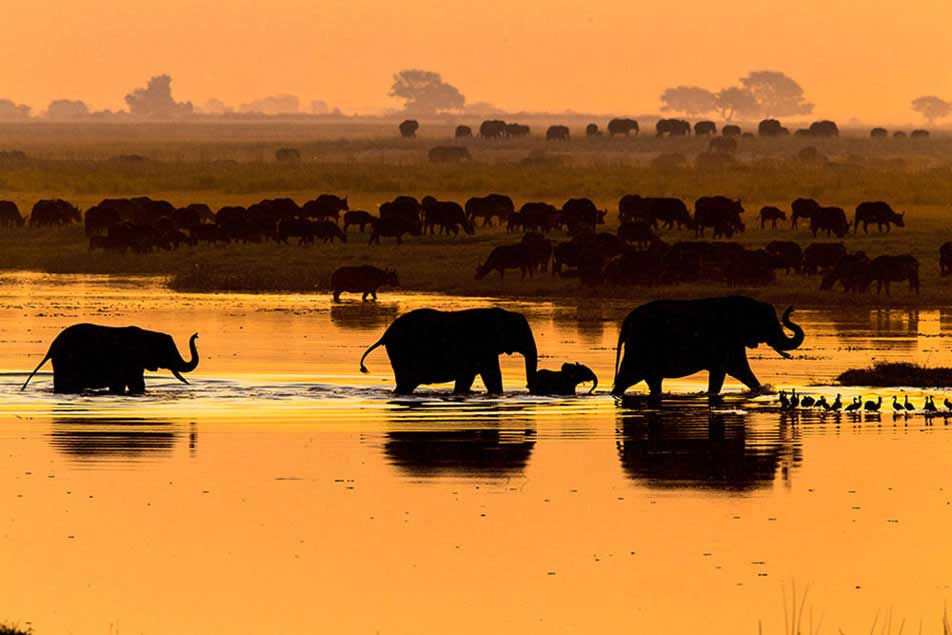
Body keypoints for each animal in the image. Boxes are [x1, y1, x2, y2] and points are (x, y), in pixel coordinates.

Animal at [21, 326, 199, 396]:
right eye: (168, 352)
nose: (196, 335)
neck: (148, 334)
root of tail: (51, 348)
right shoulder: (130, 361)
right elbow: (135, 384)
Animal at [358, 306, 536, 392]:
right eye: (521, 333)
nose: (529, 388)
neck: (504, 314)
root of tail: (385, 334)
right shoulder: (484, 347)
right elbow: (492, 376)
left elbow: (467, 378)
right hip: (401, 350)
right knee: (406, 382)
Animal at [608, 296, 804, 398]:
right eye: (769, 323)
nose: (791, 309)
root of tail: (627, 321)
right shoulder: (724, 340)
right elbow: (724, 371)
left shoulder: (733, 342)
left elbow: (741, 370)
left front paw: (761, 390)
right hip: (639, 347)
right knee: (627, 377)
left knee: (651, 381)